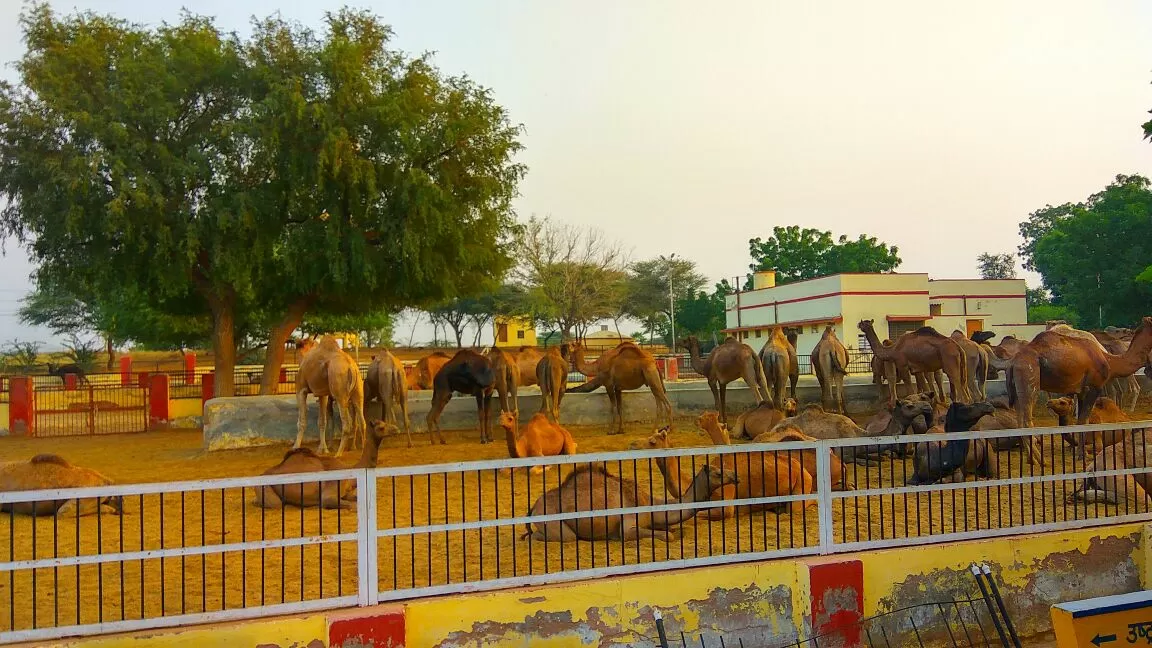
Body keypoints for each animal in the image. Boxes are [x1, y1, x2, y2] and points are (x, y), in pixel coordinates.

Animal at [255, 415, 391, 507]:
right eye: (381, 427)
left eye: (385, 423)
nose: (394, 429)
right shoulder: (329, 495)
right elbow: (350, 505)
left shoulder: (346, 493)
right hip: (264, 488)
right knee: (276, 503)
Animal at [523, 458, 737, 539]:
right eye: (718, 473)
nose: (735, 475)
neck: (648, 503)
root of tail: (533, 507)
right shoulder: (627, 526)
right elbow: (666, 535)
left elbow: (673, 530)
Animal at [1009, 313, 1152, 461]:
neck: (1109, 360)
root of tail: (1013, 362)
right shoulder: (1095, 386)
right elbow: (1084, 419)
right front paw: (1081, 455)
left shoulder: (1082, 390)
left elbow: (1081, 420)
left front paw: (1081, 453)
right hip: (1029, 378)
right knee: (1027, 421)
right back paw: (1041, 460)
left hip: (1017, 386)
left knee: (1019, 421)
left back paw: (1031, 459)